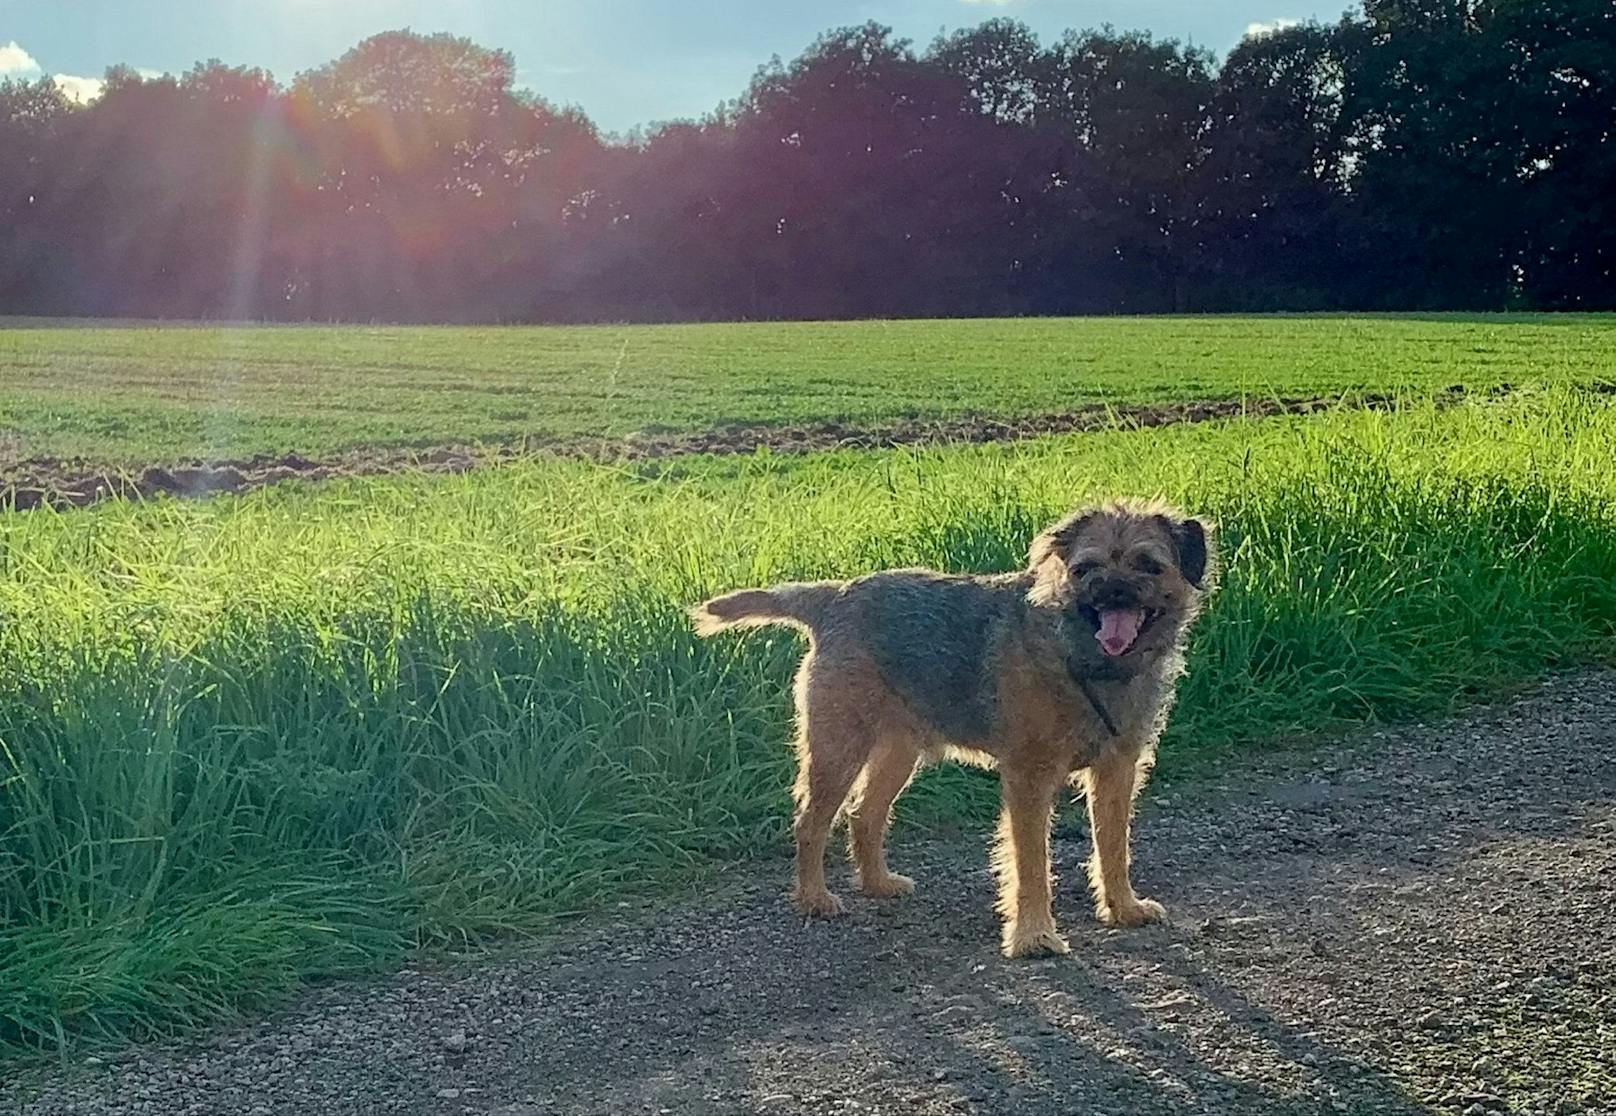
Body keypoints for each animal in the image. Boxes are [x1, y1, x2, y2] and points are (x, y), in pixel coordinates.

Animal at [691, 500, 1215, 956]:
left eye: (1149, 566)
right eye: (1085, 569)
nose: (1113, 592)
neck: (1083, 655)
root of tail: (835, 595)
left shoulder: (1117, 769)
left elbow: (1113, 844)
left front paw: (1123, 908)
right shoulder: (1029, 776)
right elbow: (1030, 862)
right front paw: (1033, 936)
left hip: (898, 751)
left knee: (865, 814)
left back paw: (878, 883)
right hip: (838, 746)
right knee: (810, 821)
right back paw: (814, 899)